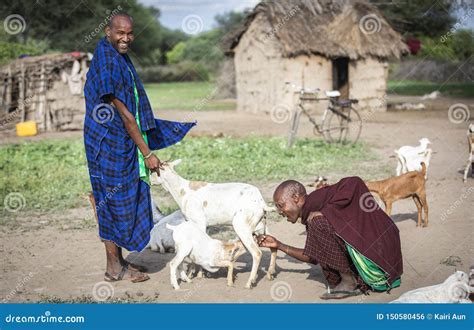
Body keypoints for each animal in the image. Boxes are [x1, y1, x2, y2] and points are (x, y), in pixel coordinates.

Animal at [151, 160, 278, 288]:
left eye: (153, 171)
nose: (150, 180)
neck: (183, 190)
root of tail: (261, 203)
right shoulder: (203, 225)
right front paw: (198, 273)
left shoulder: (199, 222)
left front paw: (195, 274)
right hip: (260, 227)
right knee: (273, 246)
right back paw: (270, 274)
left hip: (242, 227)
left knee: (257, 253)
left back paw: (249, 282)